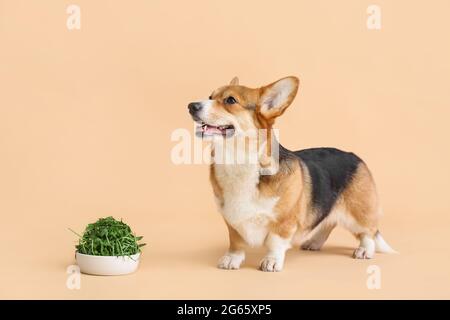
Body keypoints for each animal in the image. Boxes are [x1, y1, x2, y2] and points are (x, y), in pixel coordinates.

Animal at [186, 76, 394, 272]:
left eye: (230, 100)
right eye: (210, 96)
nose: (191, 106)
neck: (237, 162)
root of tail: (354, 156)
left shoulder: (284, 221)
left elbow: (275, 242)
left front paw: (271, 261)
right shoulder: (232, 221)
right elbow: (236, 241)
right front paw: (232, 259)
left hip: (358, 213)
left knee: (368, 232)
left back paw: (364, 250)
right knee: (328, 223)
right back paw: (314, 243)